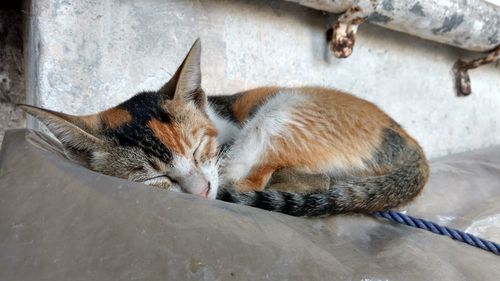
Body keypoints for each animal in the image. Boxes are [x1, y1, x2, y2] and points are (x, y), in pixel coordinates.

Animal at [18, 38, 426, 215]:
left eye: (199, 149)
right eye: (154, 177)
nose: (200, 192)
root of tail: (411, 143)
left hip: (282, 112)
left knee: (261, 178)